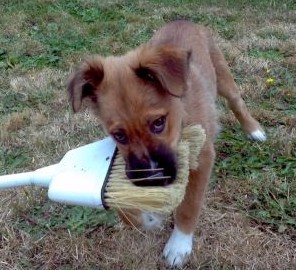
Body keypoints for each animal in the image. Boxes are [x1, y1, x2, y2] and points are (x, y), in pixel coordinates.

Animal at [67, 20, 266, 266]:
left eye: (158, 123)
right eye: (119, 135)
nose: (152, 179)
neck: (181, 119)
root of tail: (182, 19)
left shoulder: (202, 159)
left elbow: (189, 206)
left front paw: (179, 244)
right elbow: (124, 211)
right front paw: (149, 219)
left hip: (223, 76)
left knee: (237, 103)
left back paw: (254, 130)